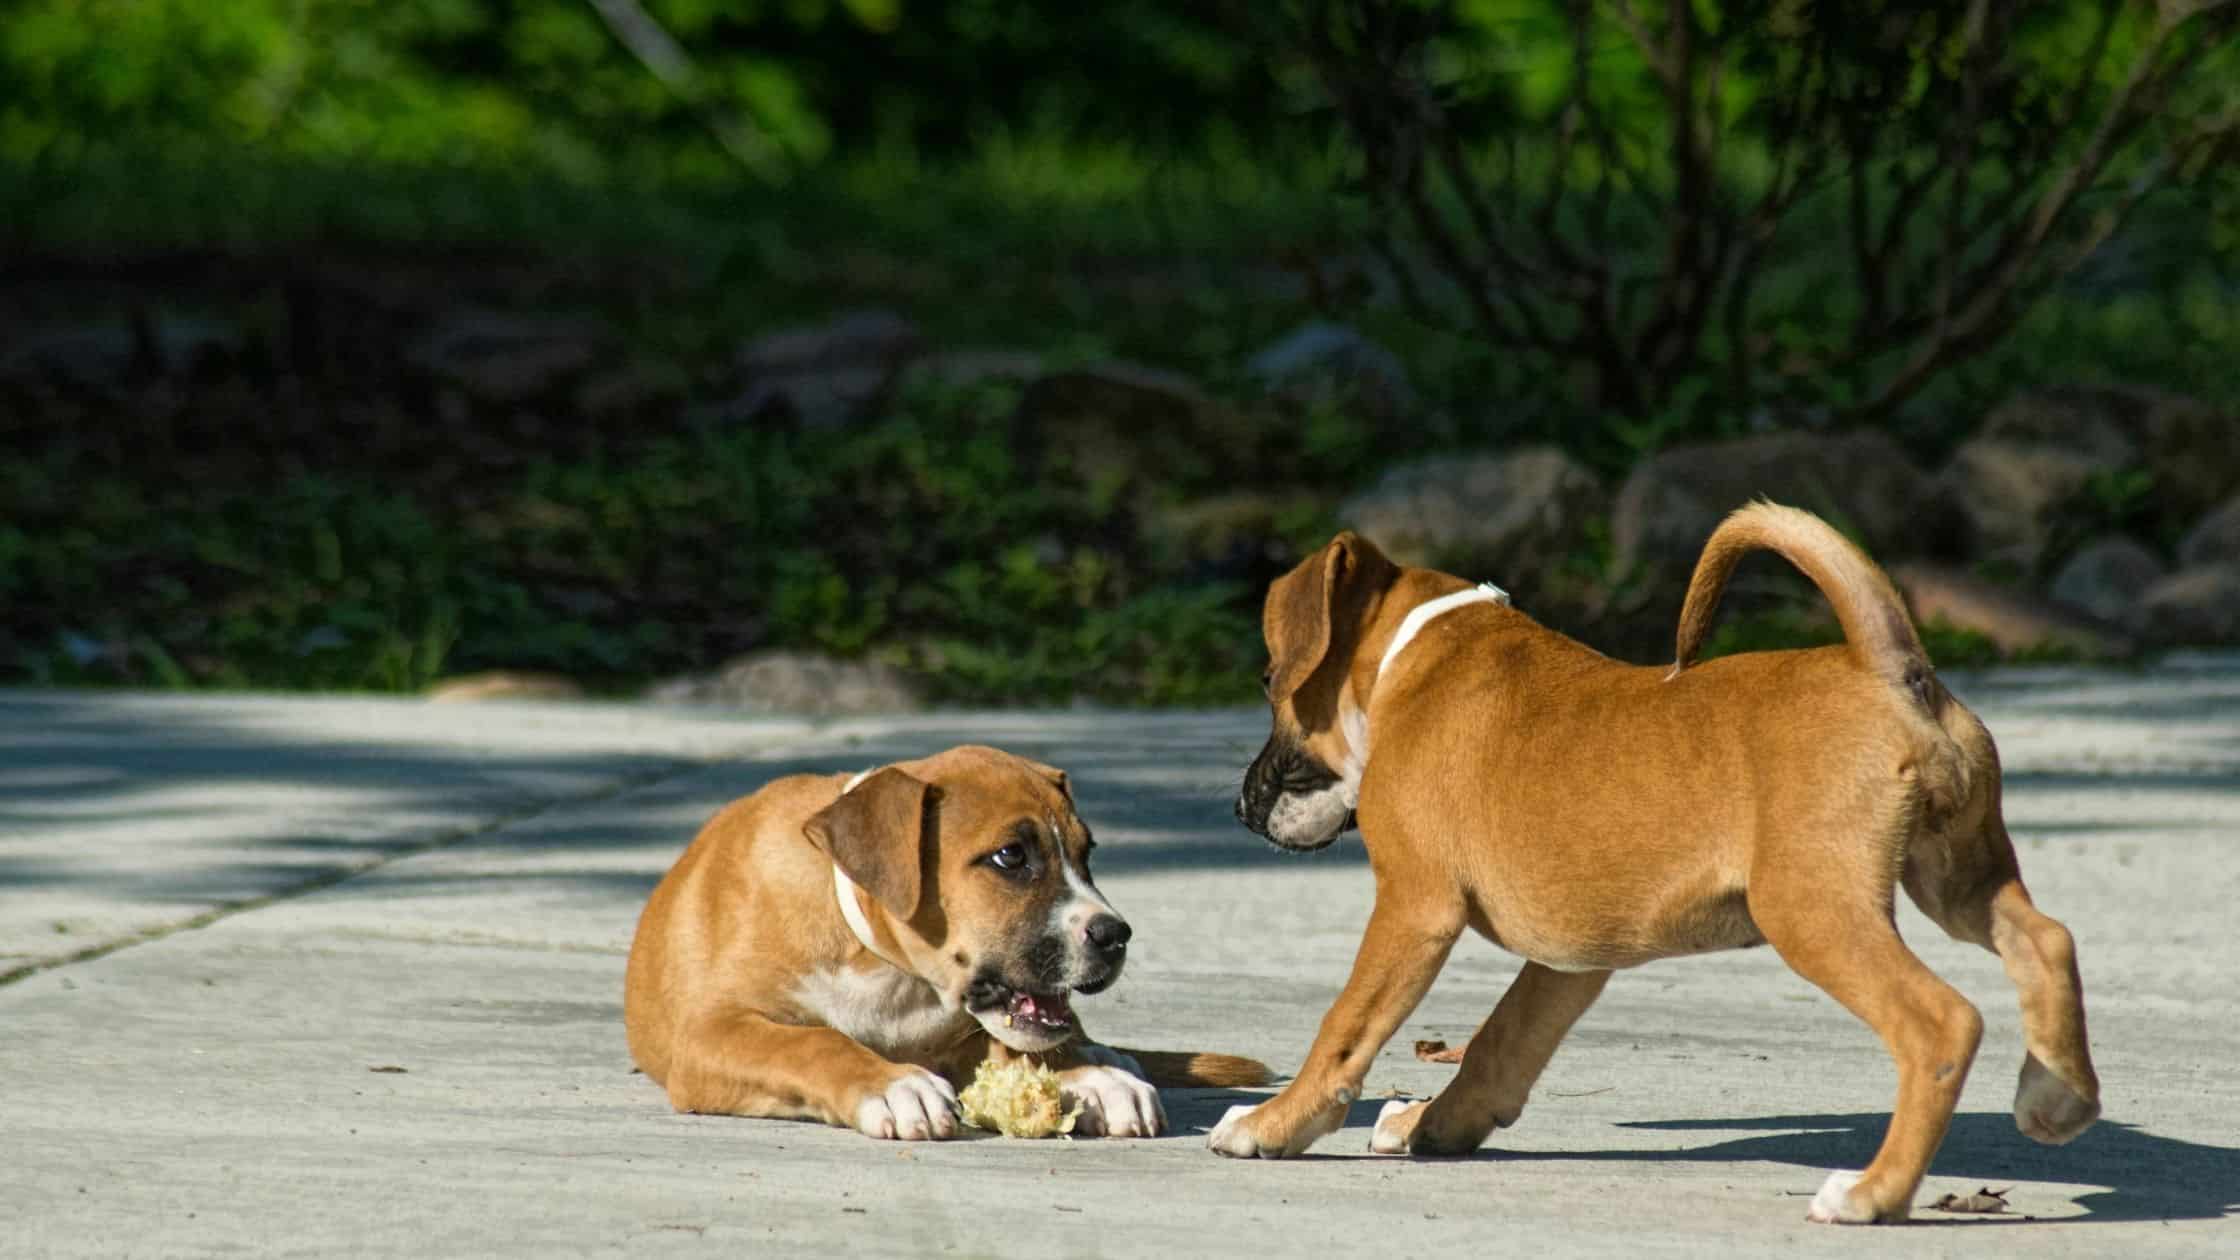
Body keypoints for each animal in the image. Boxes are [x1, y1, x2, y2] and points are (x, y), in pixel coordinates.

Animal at [622, 739, 1272, 1134]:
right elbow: (811, 1043)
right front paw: (892, 1085)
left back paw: (1102, 1058)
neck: (888, 971)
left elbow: (1018, 1052)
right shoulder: (713, 1032)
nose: (1116, 935)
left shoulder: (967, 1034)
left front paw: (1087, 1081)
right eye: (1010, 857)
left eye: (1087, 856)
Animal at [1209, 497, 2096, 1219]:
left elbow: (1345, 1027)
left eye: (1266, 678)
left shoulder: (1412, 909)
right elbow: (1500, 1044)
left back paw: (1873, 1193)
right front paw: (1435, 1122)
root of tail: (1888, 668)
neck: (1413, 657)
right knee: (2046, 940)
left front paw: (1275, 1122)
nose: (1242, 807)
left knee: (1941, 1022)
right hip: (1958, 878)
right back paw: (2058, 1097)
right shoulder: (1569, 963)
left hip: (1815, 911)